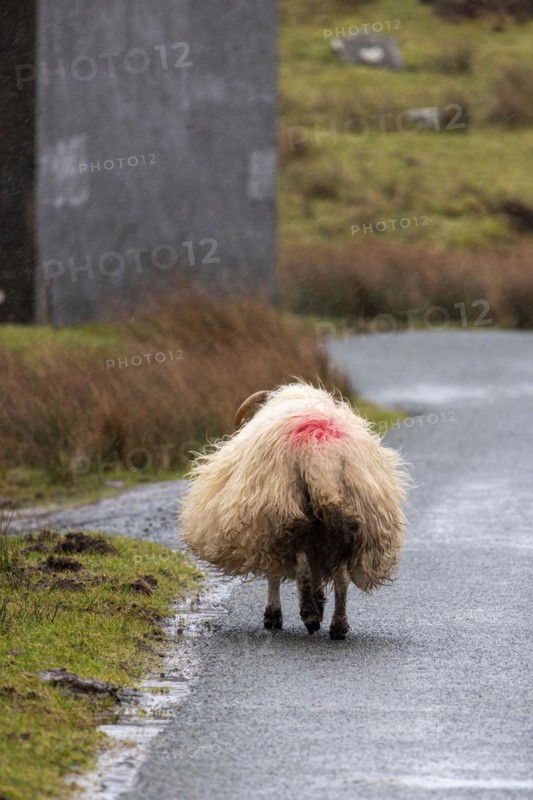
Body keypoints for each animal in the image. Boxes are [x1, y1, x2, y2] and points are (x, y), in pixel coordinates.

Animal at [179, 383, 409, 640]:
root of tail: (320, 453)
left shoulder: (266, 524)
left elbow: (274, 572)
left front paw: (273, 616)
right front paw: (318, 601)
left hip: (287, 513)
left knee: (300, 564)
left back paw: (309, 615)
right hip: (347, 523)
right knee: (340, 574)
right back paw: (337, 625)